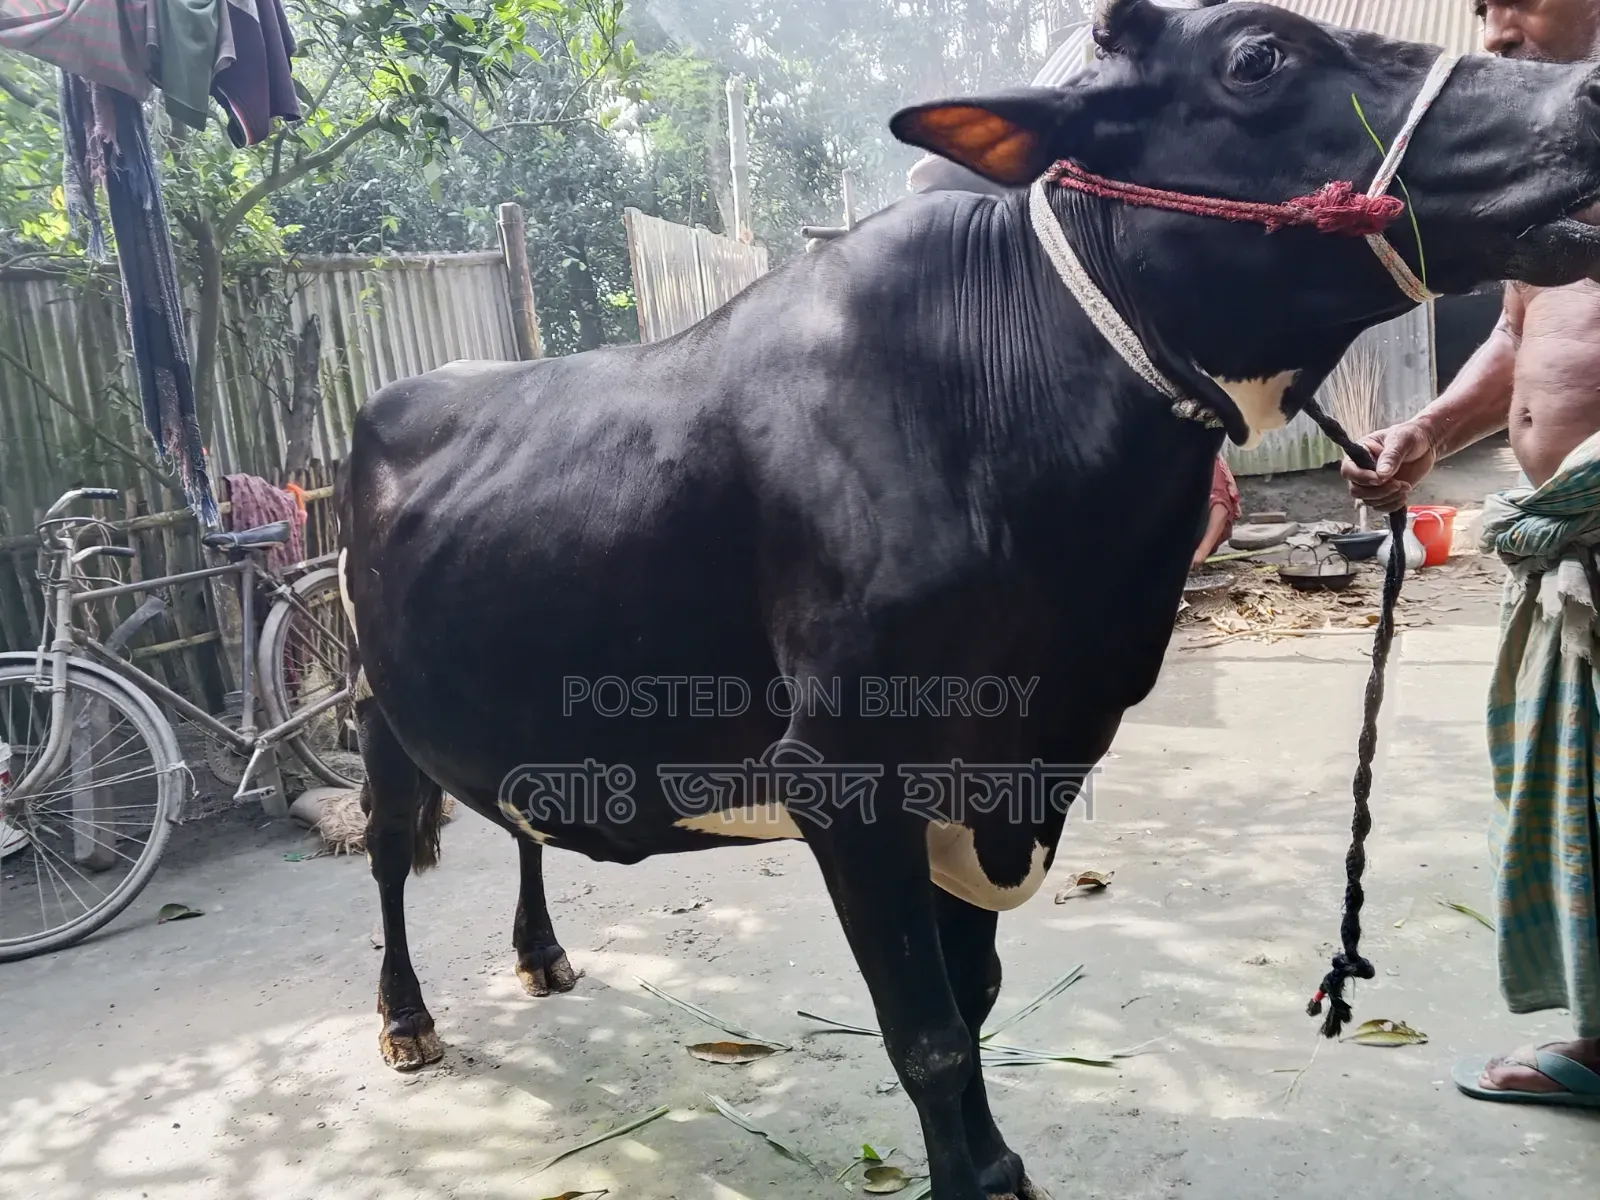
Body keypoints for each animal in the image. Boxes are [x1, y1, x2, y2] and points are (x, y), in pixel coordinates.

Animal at [337, 2, 1600, 1196]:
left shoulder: (1011, 762)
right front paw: (971, 1176)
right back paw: (404, 1019)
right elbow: (929, 1032)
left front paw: (994, 1163)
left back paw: (541, 953)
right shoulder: (842, 772)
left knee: (515, 812)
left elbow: (978, 990)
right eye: (1256, 58)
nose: (1587, 90)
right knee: (391, 847)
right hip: (370, 701)